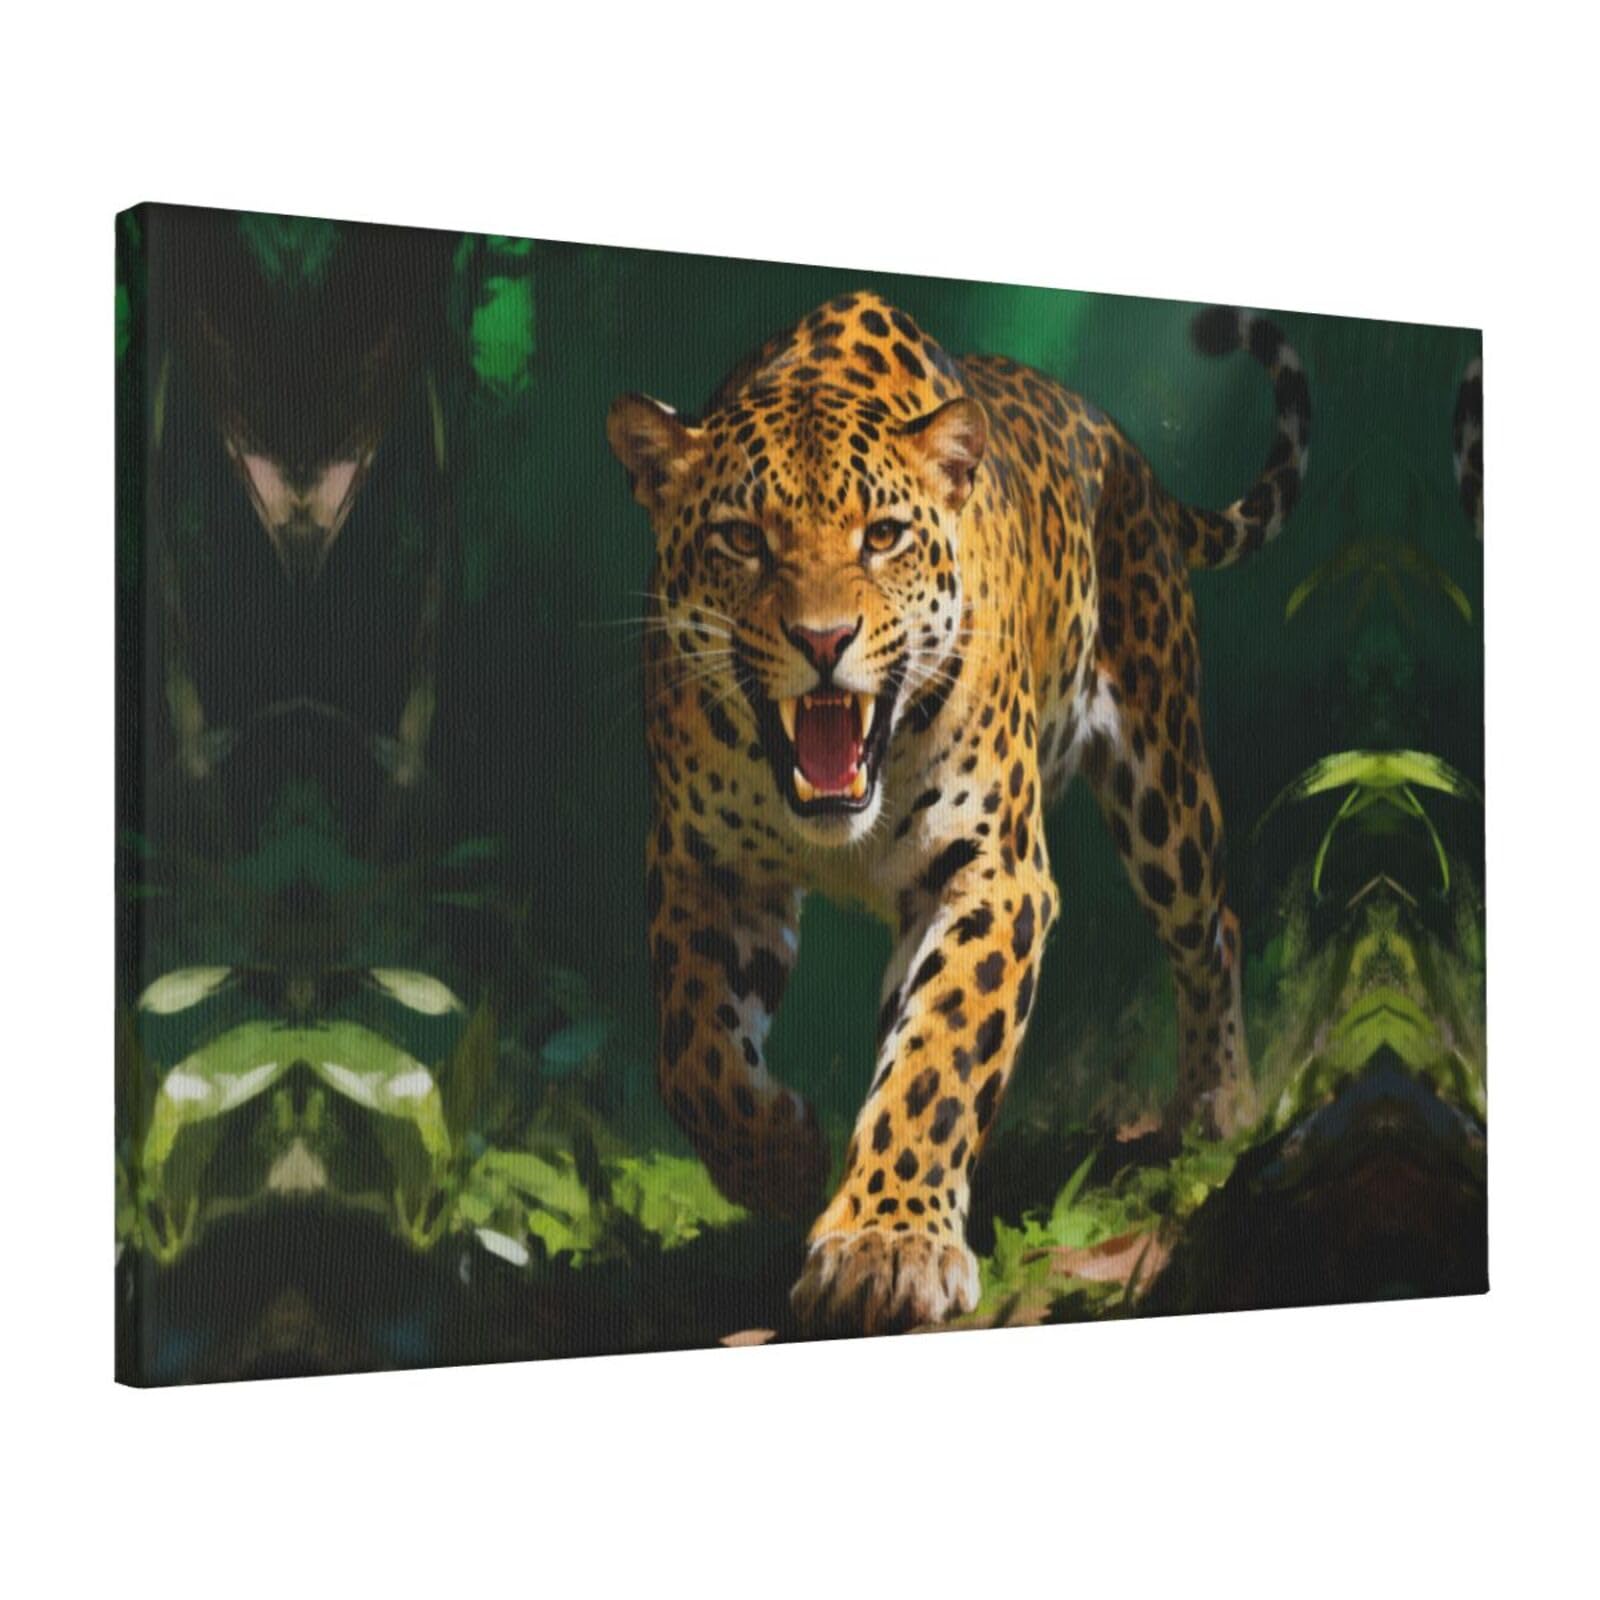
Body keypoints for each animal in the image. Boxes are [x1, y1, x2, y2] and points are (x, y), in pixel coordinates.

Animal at [606, 290, 1309, 1335]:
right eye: (743, 539)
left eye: (882, 536)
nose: (824, 640)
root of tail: (1118, 441)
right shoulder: (702, 862)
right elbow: (693, 1053)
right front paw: (780, 1159)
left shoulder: (994, 874)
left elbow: (938, 1058)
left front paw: (886, 1247)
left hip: (1164, 781)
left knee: (1211, 924)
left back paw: (1219, 1105)